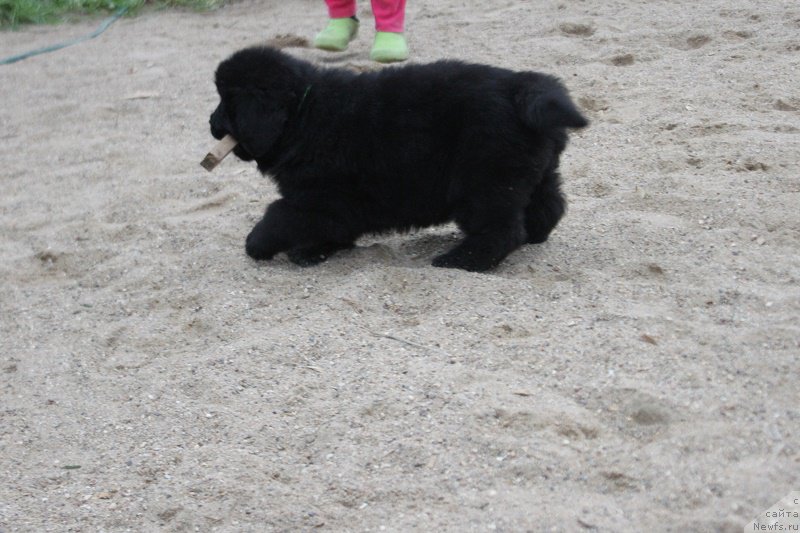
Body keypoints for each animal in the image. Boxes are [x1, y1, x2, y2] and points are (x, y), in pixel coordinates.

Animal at [209, 45, 588, 270]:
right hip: (535, 172)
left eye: (227, 103)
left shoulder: (315, 197)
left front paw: (258, 244)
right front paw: (315, 250)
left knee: (502, 229)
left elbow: (278, 217)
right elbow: (332, 228)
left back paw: (462, 259)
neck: (303, 111)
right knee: (549, 207)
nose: (211, 123)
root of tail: (521, 87)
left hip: (485, 182)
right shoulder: (332, 205)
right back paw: (534, 237)